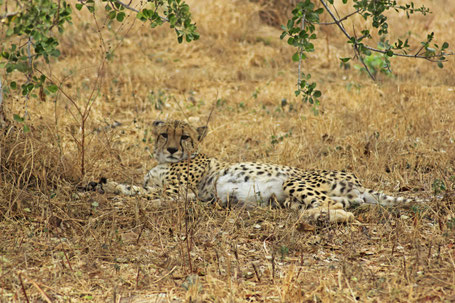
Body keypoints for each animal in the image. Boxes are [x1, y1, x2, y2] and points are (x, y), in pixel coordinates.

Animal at [90, 120, 420, 223]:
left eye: (183, 136)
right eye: (164, 134)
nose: (171, 149)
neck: (165, 162)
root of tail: (356, 179)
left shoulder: (180, 191)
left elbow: (145, 193)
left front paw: (114, 194)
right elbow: (135, 187)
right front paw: (101, 185)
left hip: (294, 181)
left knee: (338, 206)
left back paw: (320, 219)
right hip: (296, 196)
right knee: (338, 205)